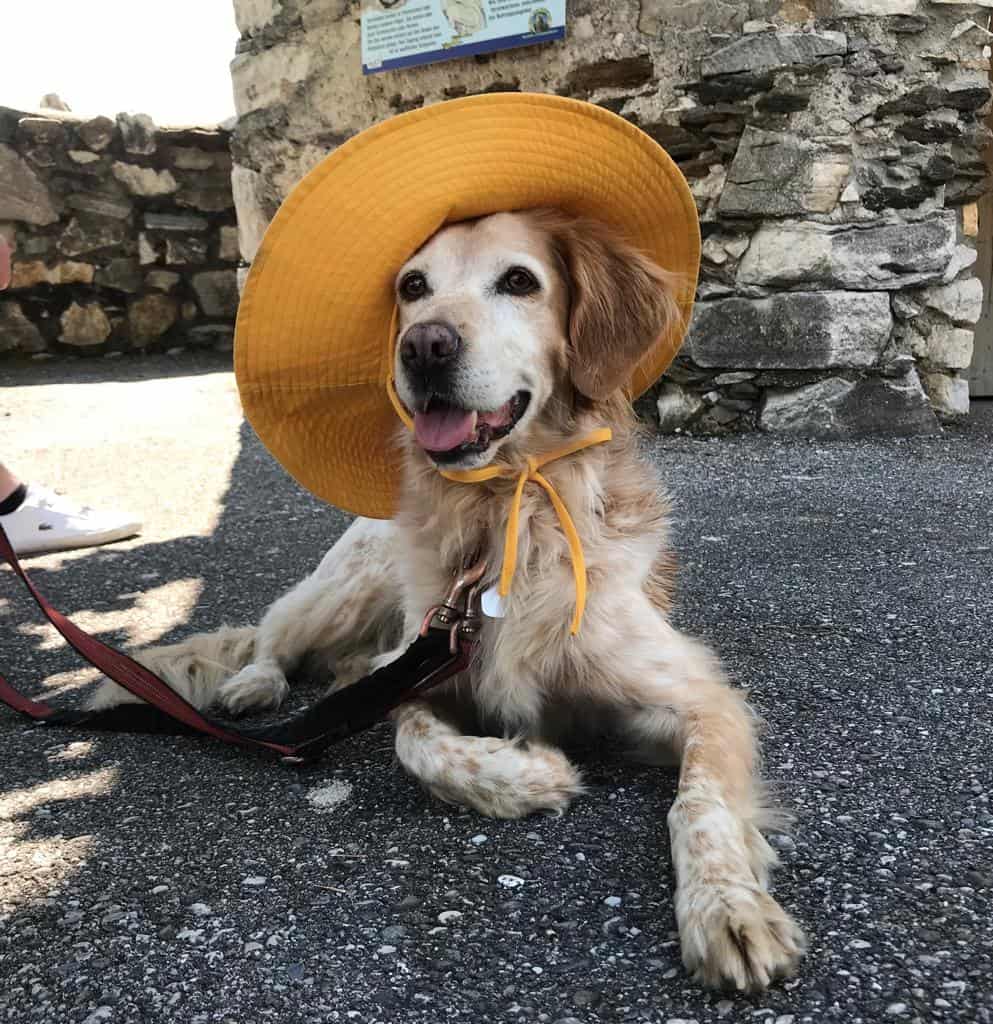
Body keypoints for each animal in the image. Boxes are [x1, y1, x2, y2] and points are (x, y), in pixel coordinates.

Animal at [91, 209, 806, 991]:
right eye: (412, 287)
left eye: (519, 280)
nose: (423, 346)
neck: (506, 517)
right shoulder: (414, 670)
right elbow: (419, 745)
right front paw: (527, 775)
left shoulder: (700, 697)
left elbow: (699, 804)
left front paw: (726, 908)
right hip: (343, 588)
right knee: (273, 640)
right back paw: (254, 685)